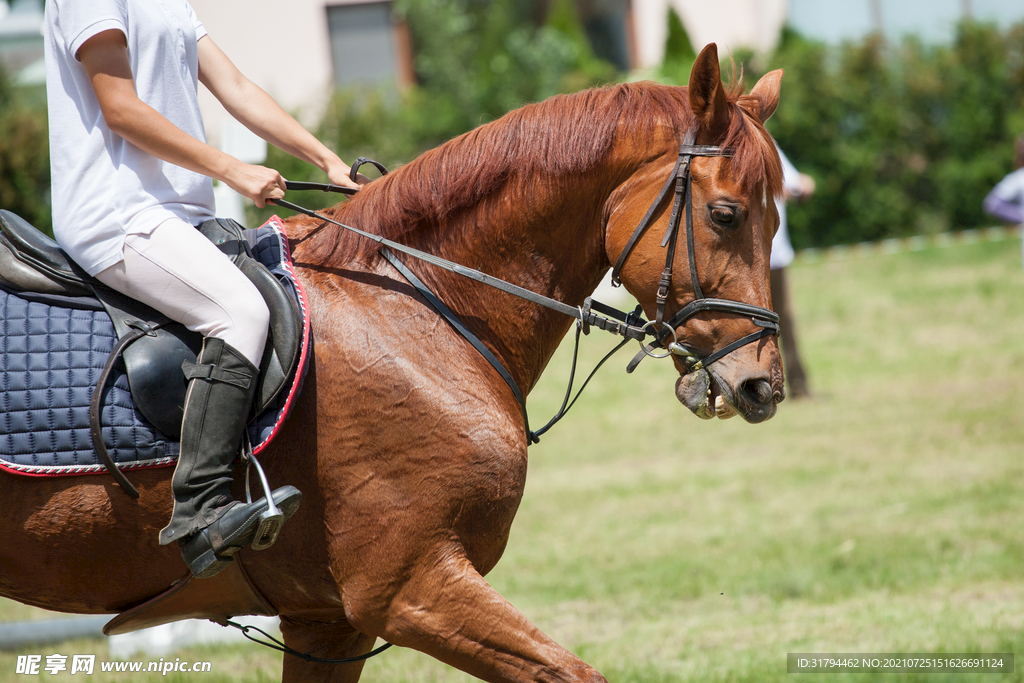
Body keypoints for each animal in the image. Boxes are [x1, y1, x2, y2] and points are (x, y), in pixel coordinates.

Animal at [0, 45, 782, 679]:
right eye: (726, 215)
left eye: (777, 216)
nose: (762, 384)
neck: (417, 304)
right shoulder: (408, 588)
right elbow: (572, 672)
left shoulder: (328, 619)